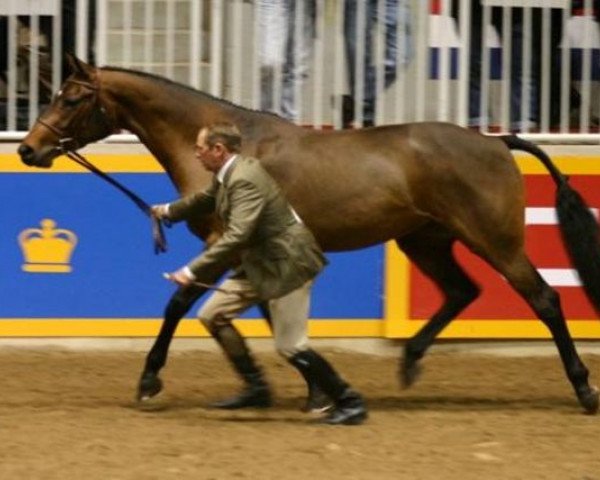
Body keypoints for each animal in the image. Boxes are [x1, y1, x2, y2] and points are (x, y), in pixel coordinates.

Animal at [18, 55, 600, 412]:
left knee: (544, 299)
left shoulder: (226, 243)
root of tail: (497, 141)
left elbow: (181, 303)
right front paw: (301, 392)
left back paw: (583, 389)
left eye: (70, 99)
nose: (28, 149)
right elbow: (267, 316)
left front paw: (149, 380)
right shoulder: (252, 252)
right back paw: (409, 363)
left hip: (495, 241)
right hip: (425, 240)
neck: (230, 146)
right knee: (462, 291)